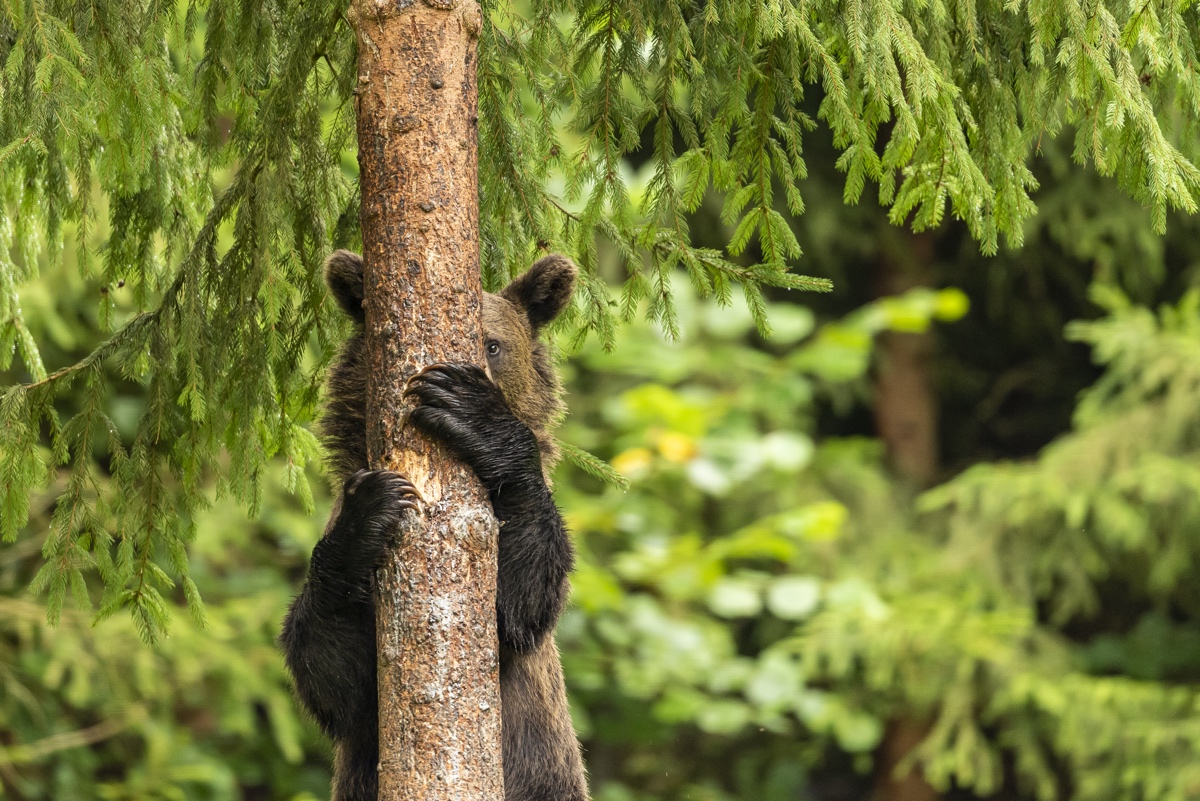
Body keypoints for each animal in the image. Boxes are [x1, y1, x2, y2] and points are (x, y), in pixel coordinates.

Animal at [277, 250, 585, 801]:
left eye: (494, 344)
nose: (472, 371)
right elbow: (332, 673)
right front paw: (370, 509)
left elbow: (520, 601)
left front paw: (471, 409)